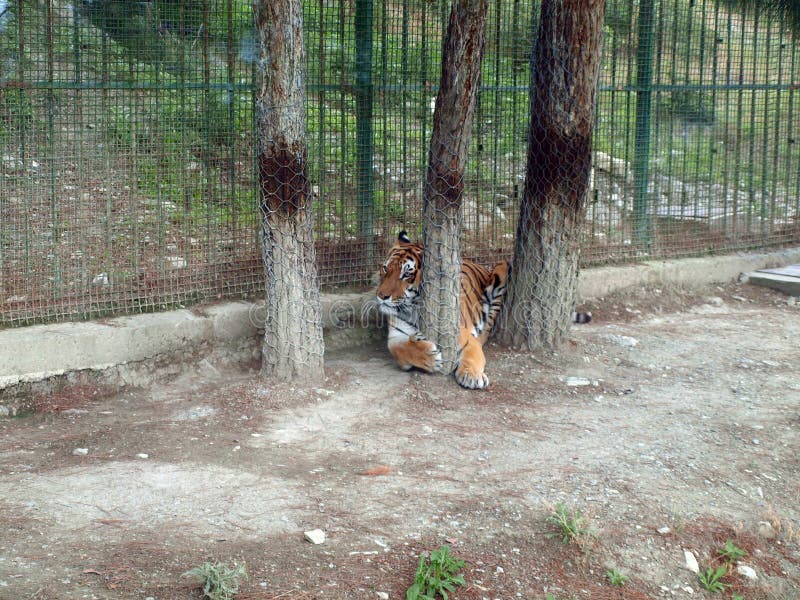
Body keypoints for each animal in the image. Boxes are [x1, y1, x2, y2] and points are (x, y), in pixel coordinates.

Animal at [376, 230, 512, 390]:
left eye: (407, 274)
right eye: (385, 268)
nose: (381, 296)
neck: (414, 309)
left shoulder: (464, 337)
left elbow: (472, 355)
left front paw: (472, 375)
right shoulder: (395, 337)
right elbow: (399, 349)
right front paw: (430, 356)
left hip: (502, 267)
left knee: (487, 328)